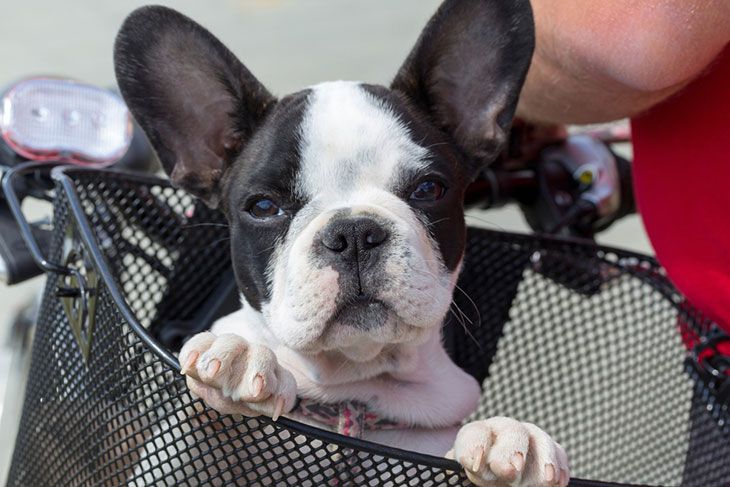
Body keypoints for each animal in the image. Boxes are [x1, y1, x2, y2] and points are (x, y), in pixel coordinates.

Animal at [114, 1, 568, 486]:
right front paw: (239, 356)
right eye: (263, 206)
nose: (352, 233)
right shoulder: (165, 468)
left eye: (429, 189)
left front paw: (508, 434)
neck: (349, 400)